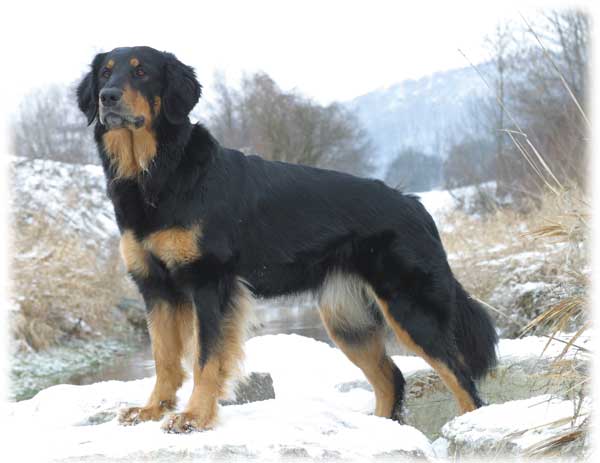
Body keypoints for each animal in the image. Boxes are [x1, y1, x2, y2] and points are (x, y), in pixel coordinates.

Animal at [77, 46, 498, 433]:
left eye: (142, 72)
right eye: (105, 73)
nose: (107, 97)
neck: (156, 173)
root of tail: (416, 205)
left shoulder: (209, 282)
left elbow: (205, 358)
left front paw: (195, 416)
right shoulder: (156, 287)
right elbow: (164, 358)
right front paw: (151, 409)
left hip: (409, 309)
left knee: (463, 380)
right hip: (347, 321)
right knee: (391, 378)